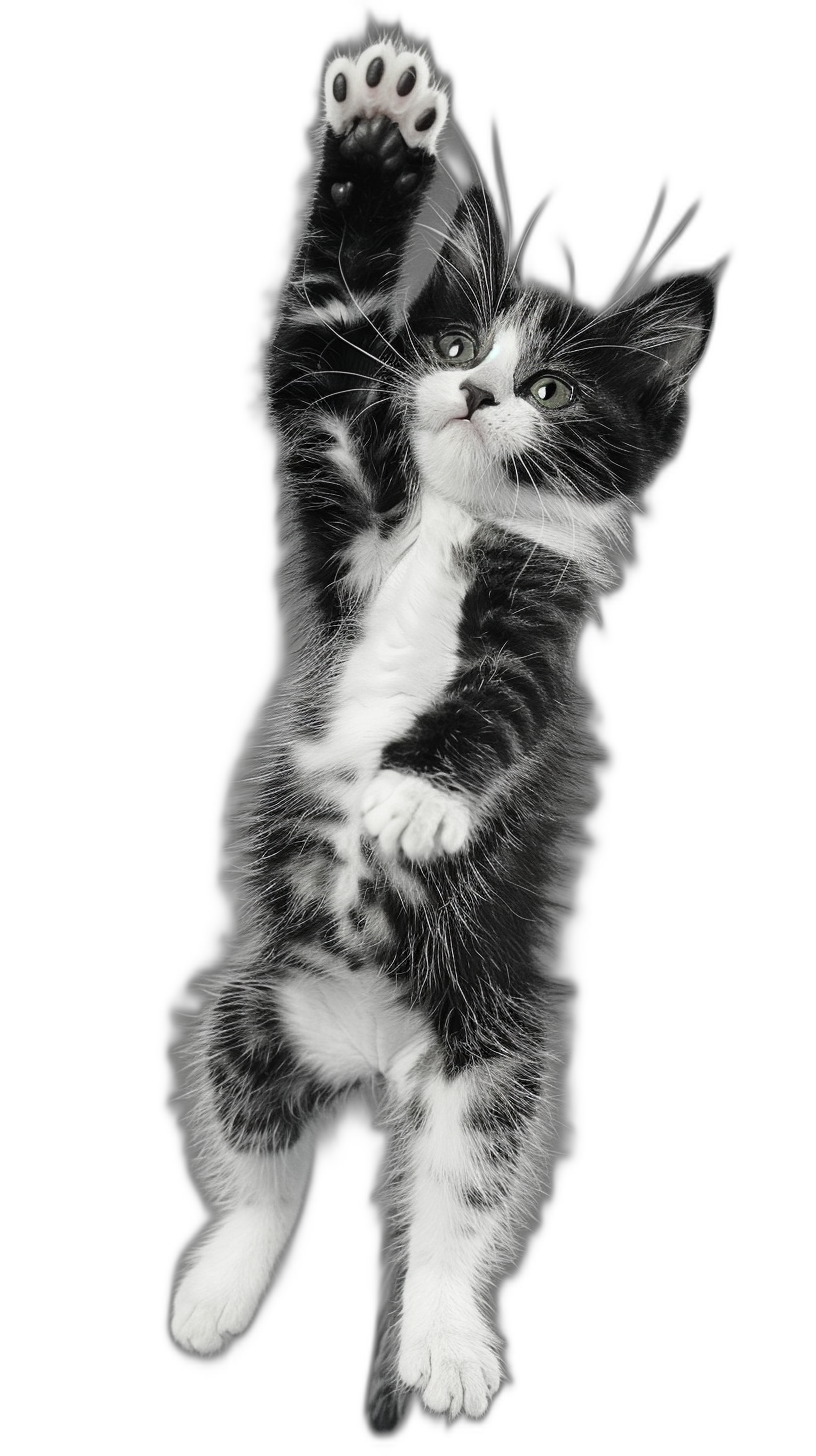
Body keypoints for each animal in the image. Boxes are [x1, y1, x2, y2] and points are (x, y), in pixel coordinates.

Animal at [166, 31, 714, 1432]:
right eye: (460, 336)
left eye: (549, 384)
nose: (469, 391)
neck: (454, 528)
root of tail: (382, 1060)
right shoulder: (343, 502)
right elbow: (315, 344)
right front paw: (375, 133)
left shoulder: (538, 635)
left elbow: (493, 707)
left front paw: (413, 795)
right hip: (255, 1006)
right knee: (265, 1159)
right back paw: (223, 1282)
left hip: (496, 1053)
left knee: (462, 1202)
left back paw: (448, 1340)